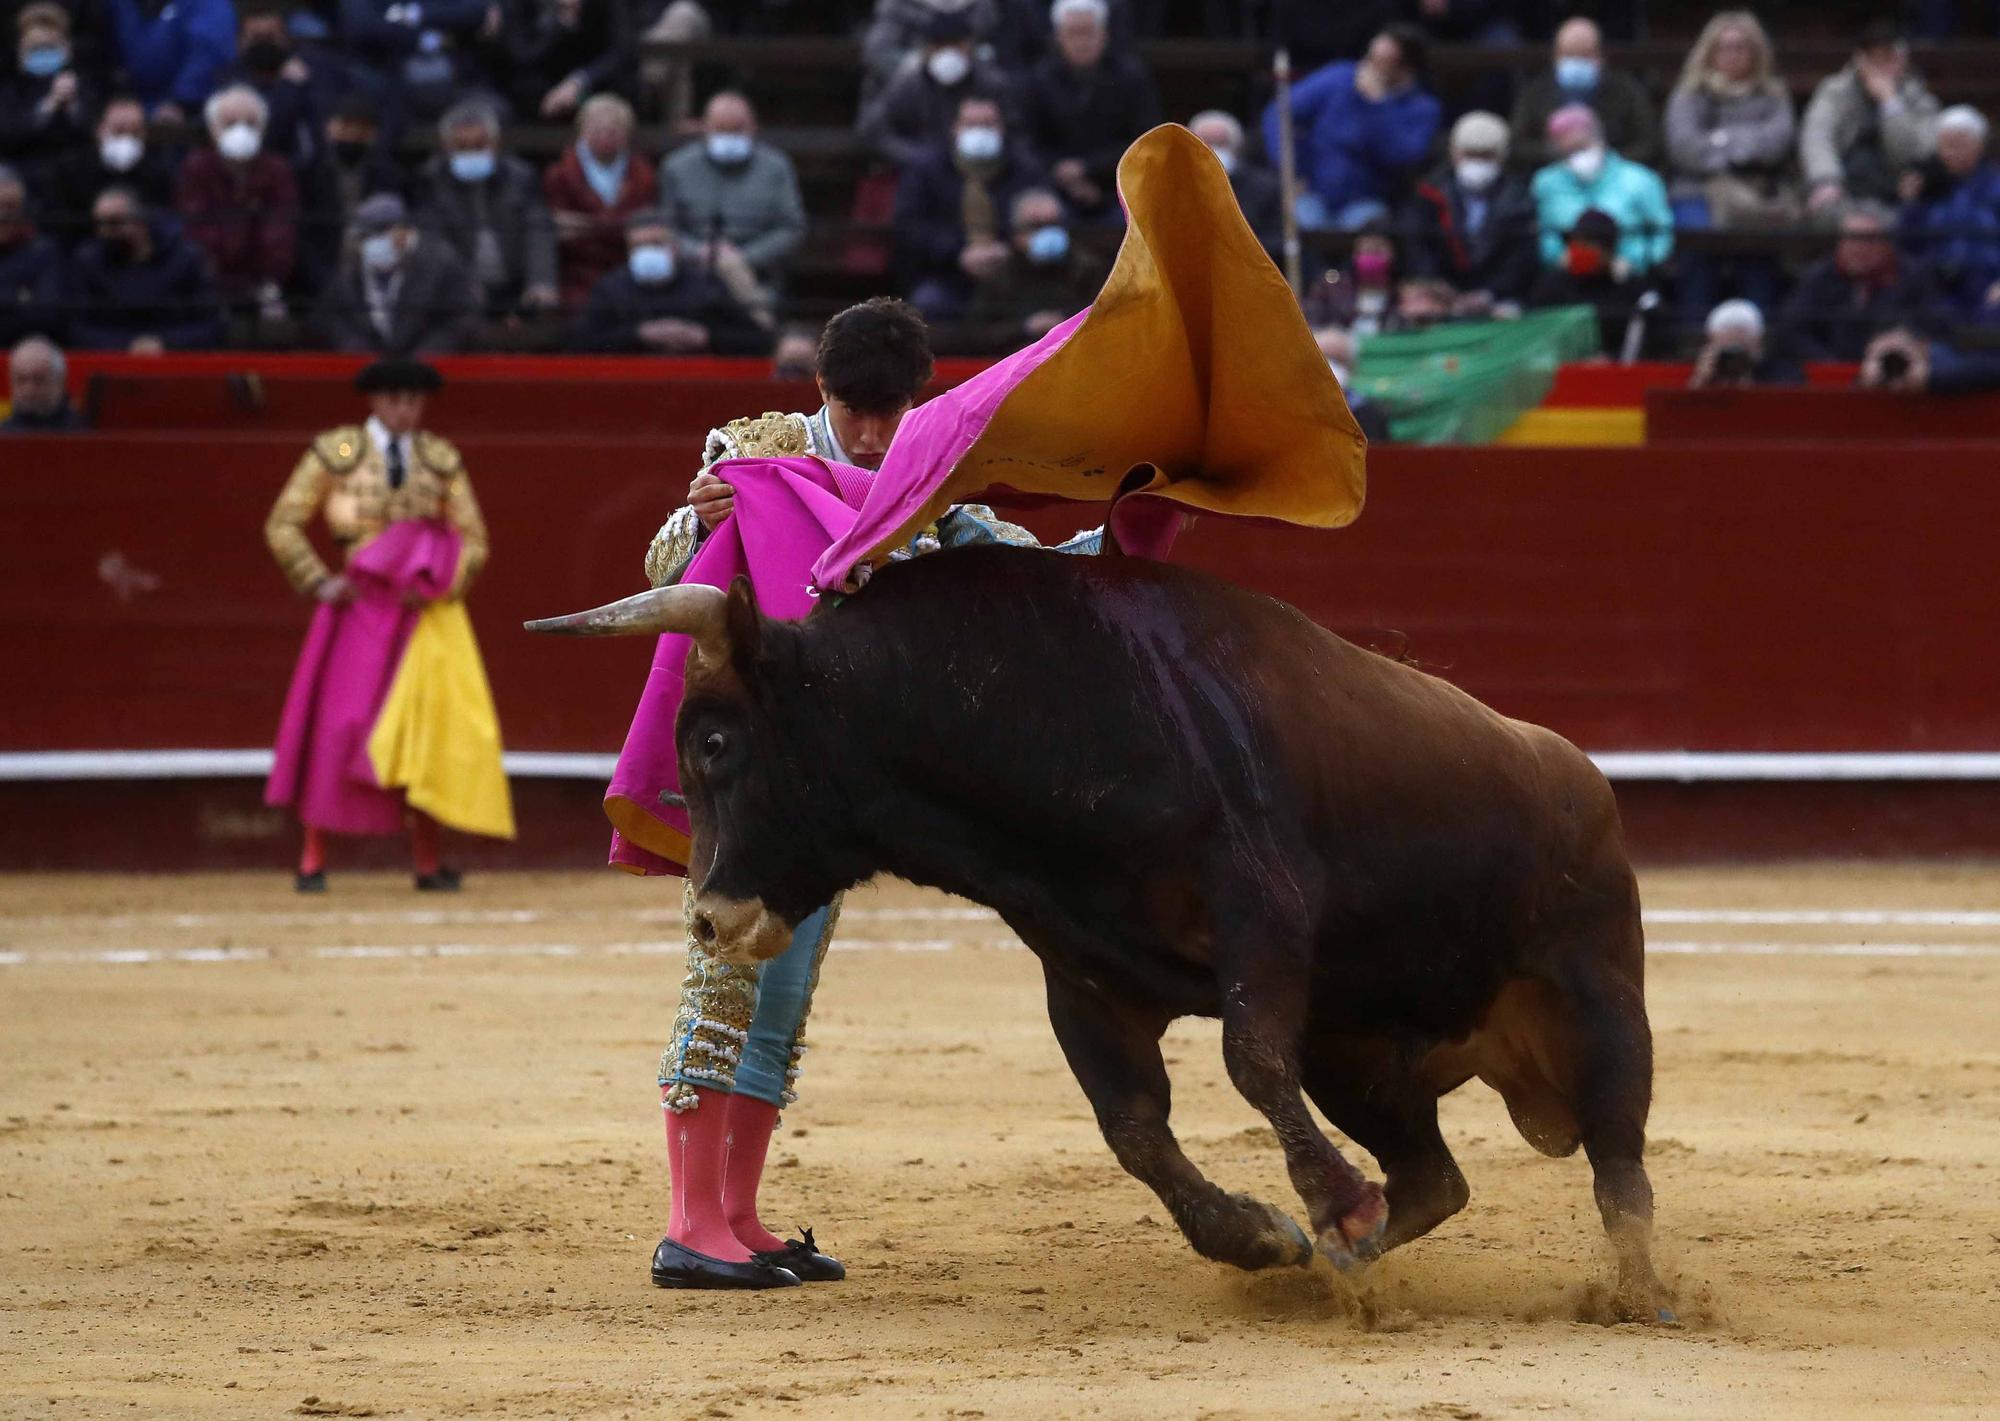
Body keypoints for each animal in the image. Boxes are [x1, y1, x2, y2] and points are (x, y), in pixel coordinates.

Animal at [528, 544, 1672, 1320]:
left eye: (717, 742)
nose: (709, 917)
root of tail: (1576, 768)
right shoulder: (1080, 974)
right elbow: (1131, 1125)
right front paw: (1267, 1236)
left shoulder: (1263, 913)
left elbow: (1248, 1058)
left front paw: (1329, 1208)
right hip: (1359, 1052)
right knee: (1436, 1175)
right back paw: (1355, 1254)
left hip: (1599, 995)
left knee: (1618, 1160)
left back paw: (1641, 1293)